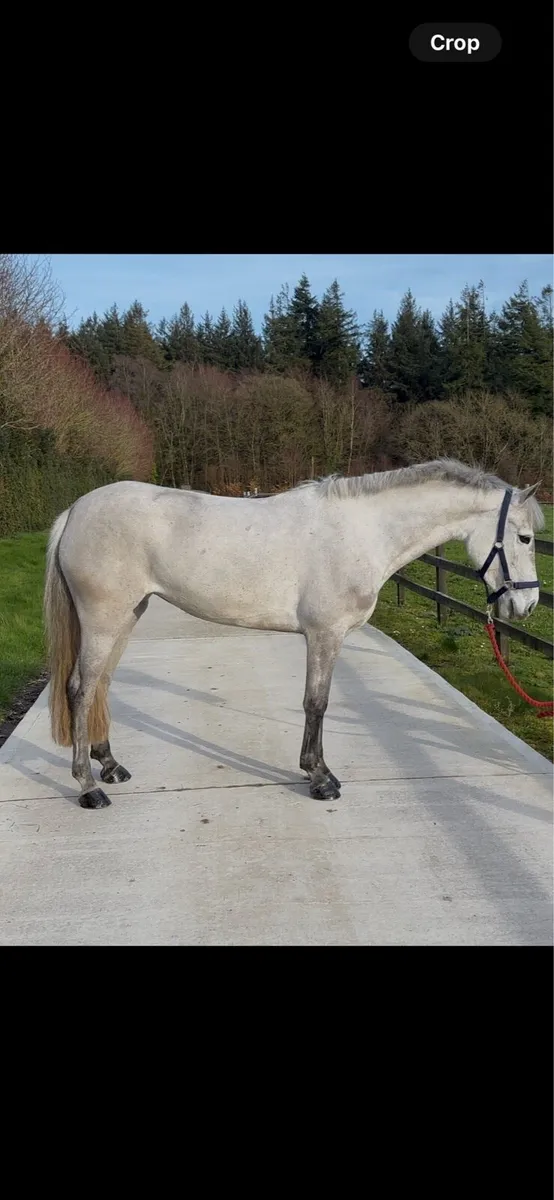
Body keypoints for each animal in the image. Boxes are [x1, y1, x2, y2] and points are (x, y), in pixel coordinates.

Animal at [43, 459, 543, 809]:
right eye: (524, 538)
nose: (527, 605)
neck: (363, 531)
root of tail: (74, 512)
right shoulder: (325, 635)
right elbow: (316, 703)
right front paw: (320, 778)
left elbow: (316, 703)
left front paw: (317, 772)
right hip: (104, 618)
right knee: (80, 688)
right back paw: (88, 788)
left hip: (127, 615)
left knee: (102, 684)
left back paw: (110, 766)